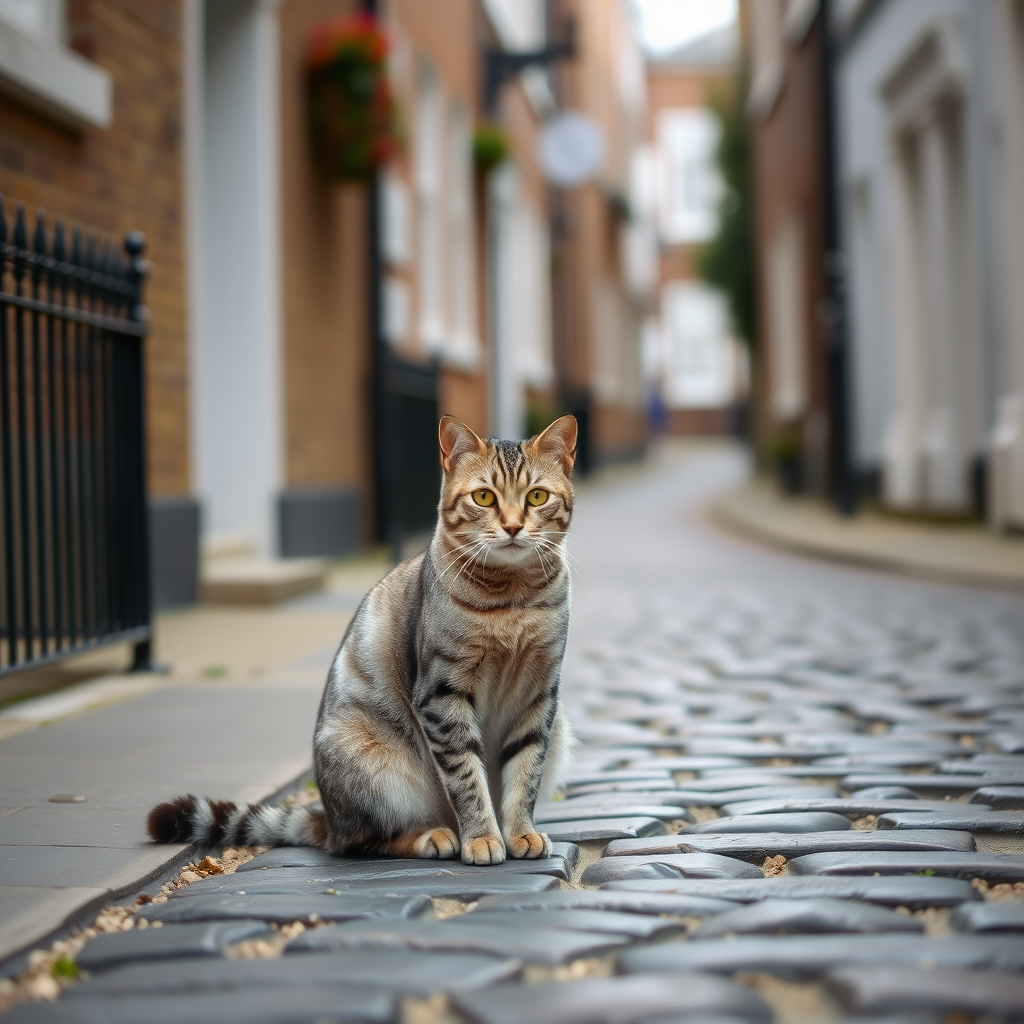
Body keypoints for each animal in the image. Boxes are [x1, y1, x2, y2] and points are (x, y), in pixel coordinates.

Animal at [146, 413, 577, 864]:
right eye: (484, 497)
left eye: (537, 497)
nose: (512, 526)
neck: (512, 599)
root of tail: (328, 817)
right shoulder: (443, 694)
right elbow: (467, 780)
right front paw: (481, 838)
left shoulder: (539, 693)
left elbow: (525, 774)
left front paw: (520, 833)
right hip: (373, 764)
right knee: (362, 841)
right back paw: (436, 837)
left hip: (559, 729)